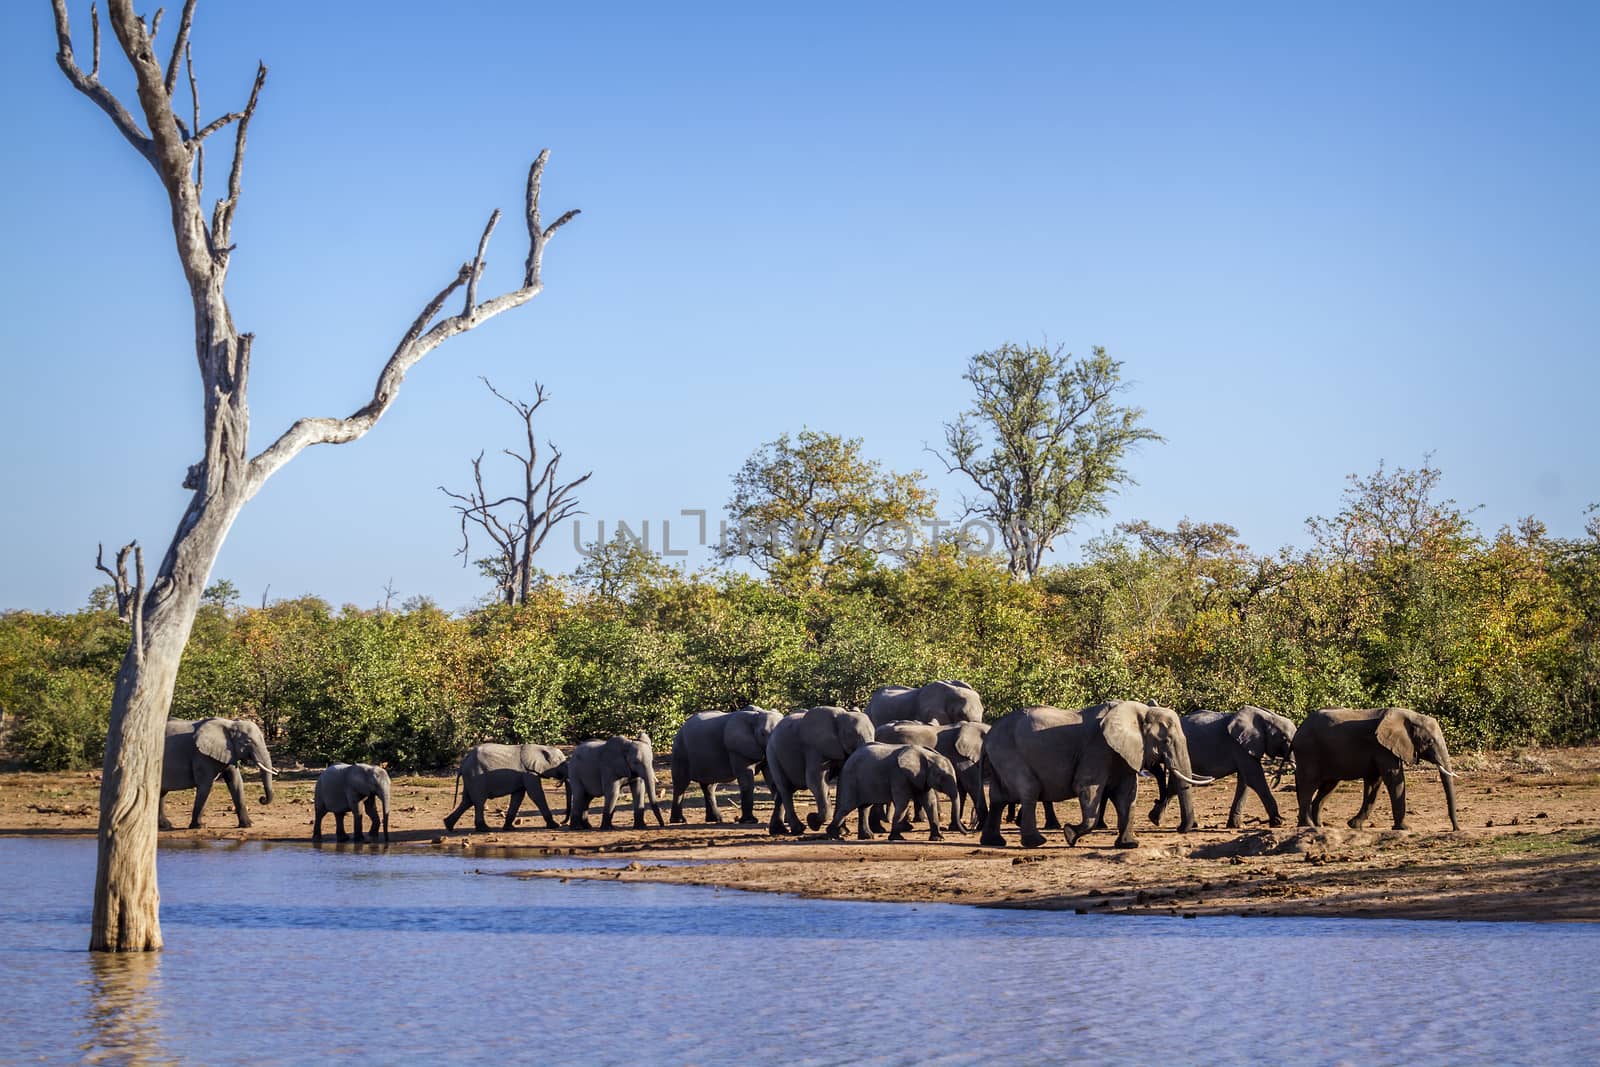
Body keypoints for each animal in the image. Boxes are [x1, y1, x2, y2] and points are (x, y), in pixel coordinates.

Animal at [764, 703, 876, 838]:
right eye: (852, 734)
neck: (840, 718)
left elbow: (842, 782)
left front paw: (842, 832)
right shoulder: (813, 748)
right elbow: (816, 781)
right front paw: (812, 821)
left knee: (783, 791)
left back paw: (778, 831)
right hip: (772, 754)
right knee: (785, 788)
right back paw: (798, 829)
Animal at [972, 700, 1209, 851]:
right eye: (1166, 741)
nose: (1180, 829)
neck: (1140, 711)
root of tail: (987, 738)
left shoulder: (1121, 753)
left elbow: (1126, 794)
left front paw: (1129, 845)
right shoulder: (1098, 748)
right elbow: (1087, 787)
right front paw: (1070, 835)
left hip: (1000, 757)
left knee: (998, 798)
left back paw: (993, 842)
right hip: (1008, 753)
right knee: (1029, 789)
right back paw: (1036, 843)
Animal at [1152, 710, 1299, 831]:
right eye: (1285, 739)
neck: (1267, 716)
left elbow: (1245, 781)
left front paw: (1236, 826)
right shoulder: (1239, 746)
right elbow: (1254, 778)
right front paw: (1279, 822)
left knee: (1174, 785)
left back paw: (1158, 820)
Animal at [1292, 710, 1459, 831]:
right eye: (1429, 741)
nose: (1455, 829)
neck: (1411, 716)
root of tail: (1298, 731)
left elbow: (1374, 782)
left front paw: (1354, 825)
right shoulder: (1382, 748)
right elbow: (1394, 778)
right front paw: (1404, 828)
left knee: (1328, 787)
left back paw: (1318, 825)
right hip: (1308, 752)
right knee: (1308, 785)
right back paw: (1308, 826)